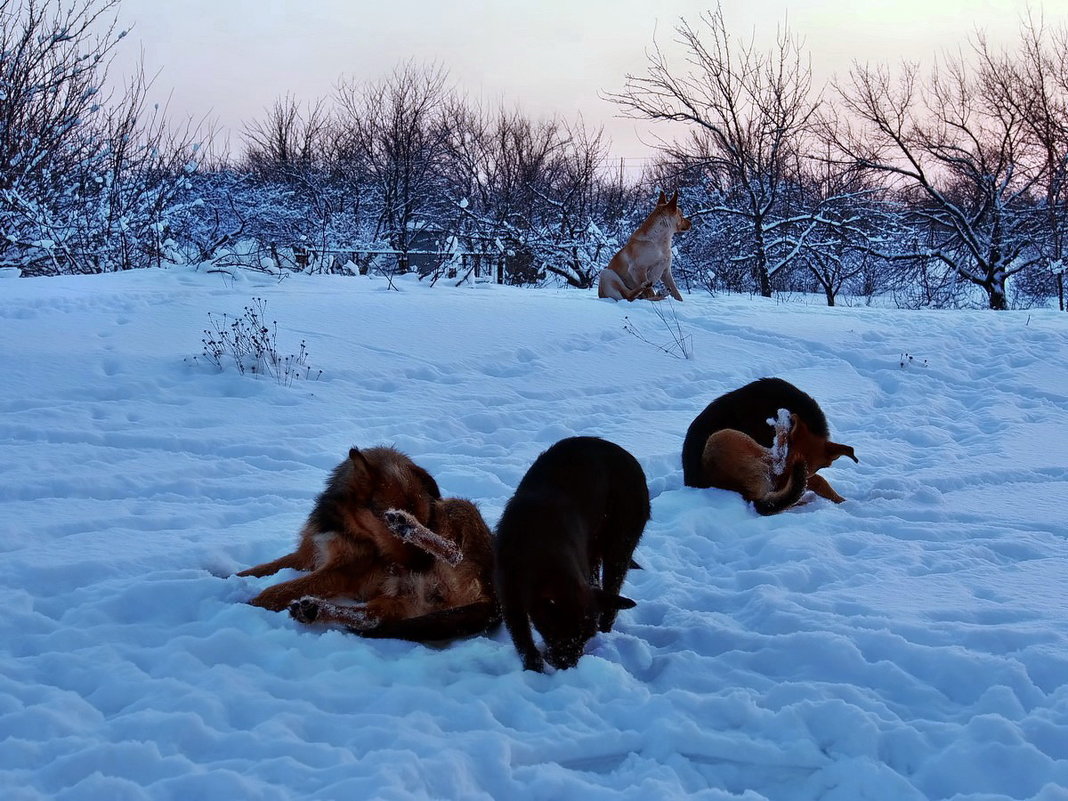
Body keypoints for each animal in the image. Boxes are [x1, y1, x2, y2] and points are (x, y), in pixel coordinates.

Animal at [240, 448, 497, 645]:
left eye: (428, 520)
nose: (422, 566)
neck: (346, 525)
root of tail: (492, 601)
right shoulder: (307, 555)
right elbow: (262, 569)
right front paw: (234, 579)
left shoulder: (342, 572)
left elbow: (281, 588)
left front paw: (248, 602)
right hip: (399, 602)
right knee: (370, 617)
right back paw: (313, 610)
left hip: (458, 508)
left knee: (455, 552)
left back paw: (406, 525)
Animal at [491, 435, 649, 674]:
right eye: (559, 632)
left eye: (585, 638)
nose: (567, 666)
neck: (541, 548)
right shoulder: (510, 597)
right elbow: (523, 641)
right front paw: (534, 668)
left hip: (619, 547)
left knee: (611, 593)